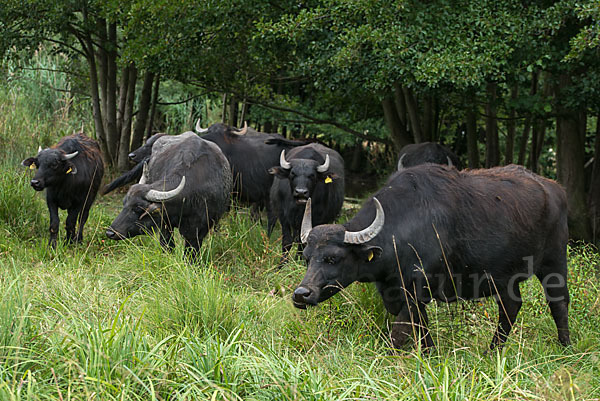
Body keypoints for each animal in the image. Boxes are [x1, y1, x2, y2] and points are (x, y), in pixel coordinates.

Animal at [296, 163, 572, 350]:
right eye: (308, 257)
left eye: (333, 258)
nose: (301, 294)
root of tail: (555, 189)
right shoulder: (397, 292)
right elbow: (422, 328)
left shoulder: (417, 290)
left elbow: (402, 332)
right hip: (504, 277)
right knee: (510, 307)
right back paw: (493, 350)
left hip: (554, 261)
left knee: (558, 302)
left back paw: (565, 346)